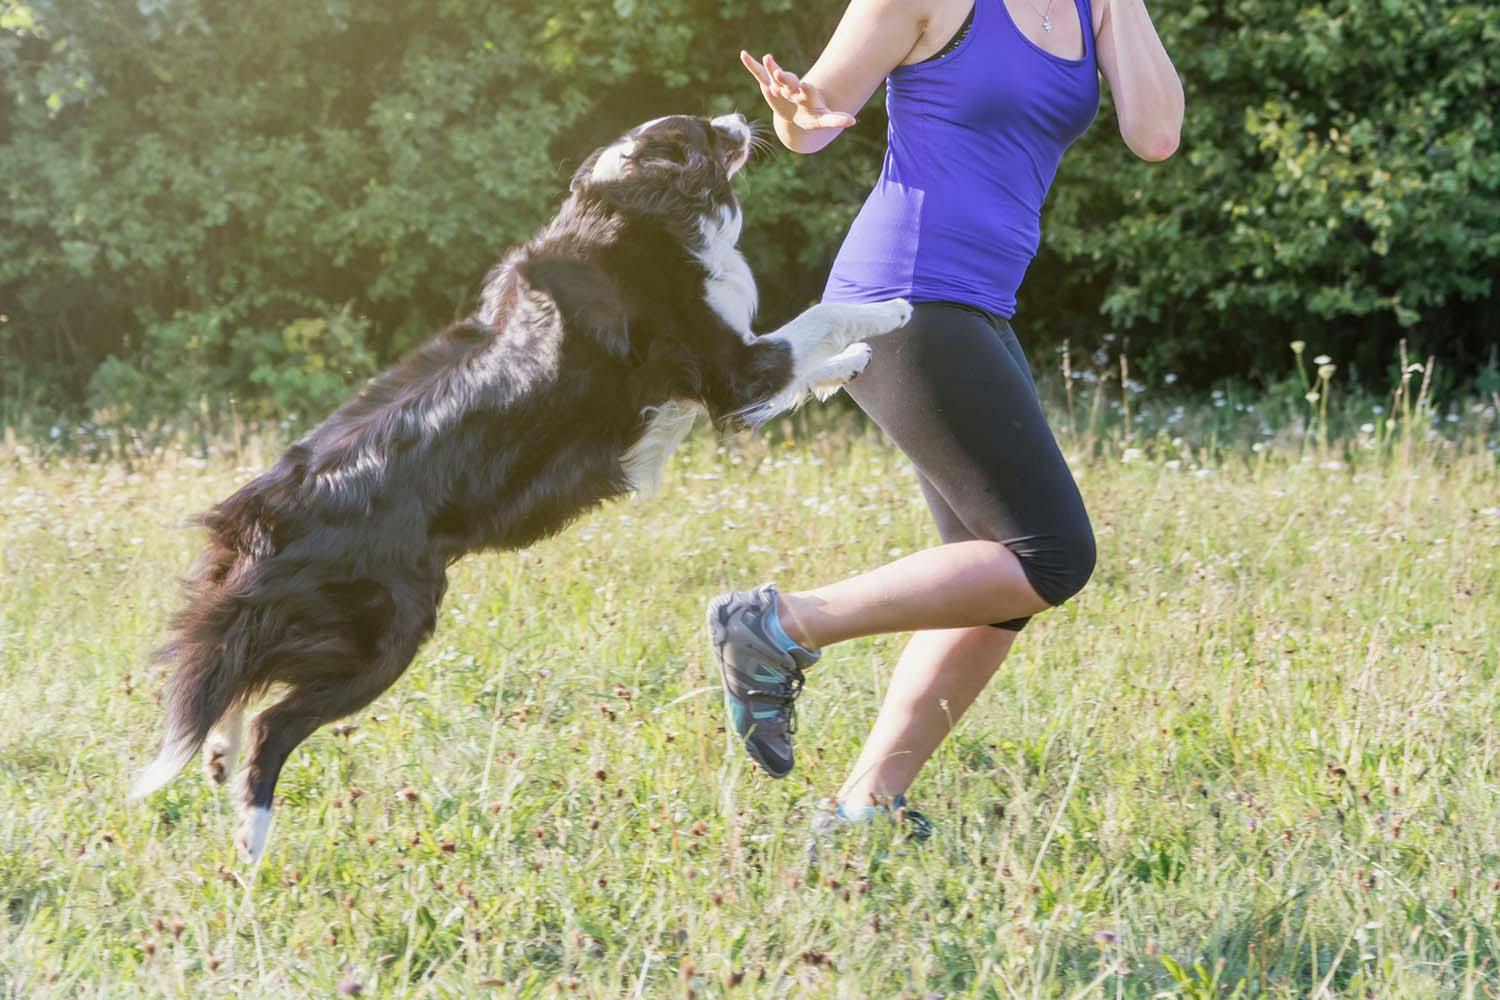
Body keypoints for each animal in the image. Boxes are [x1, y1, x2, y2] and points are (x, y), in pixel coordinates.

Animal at [132, 111, 900, 863]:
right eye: (700, 133)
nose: (743, 114)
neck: (636, 213)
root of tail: (260, 512)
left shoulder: (734, 391)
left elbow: (808, 357)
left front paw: (850, 362)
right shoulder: (729, 371)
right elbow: (818, 318)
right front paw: (885, 318)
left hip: (302, 621)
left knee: (233, 678)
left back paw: (219, 754)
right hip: (385, 636)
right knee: (273, 720)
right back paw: (252, 840)